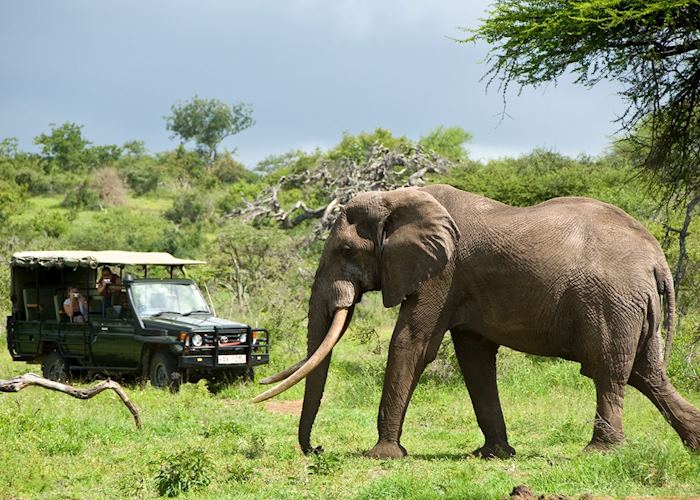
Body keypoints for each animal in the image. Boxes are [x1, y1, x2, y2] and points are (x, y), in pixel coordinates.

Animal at [256, 183, 700, 458]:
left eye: (346, 251)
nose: (317, 449)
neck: (396, 198)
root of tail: (656, 256)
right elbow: (474, 359)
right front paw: (494, 455)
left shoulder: (443, 273)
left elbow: (411, 343)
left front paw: (381, 455)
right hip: (634, 307)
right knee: (647, 374)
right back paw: (693, 444)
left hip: (612, 304)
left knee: (608, 371)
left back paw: (598, 452)